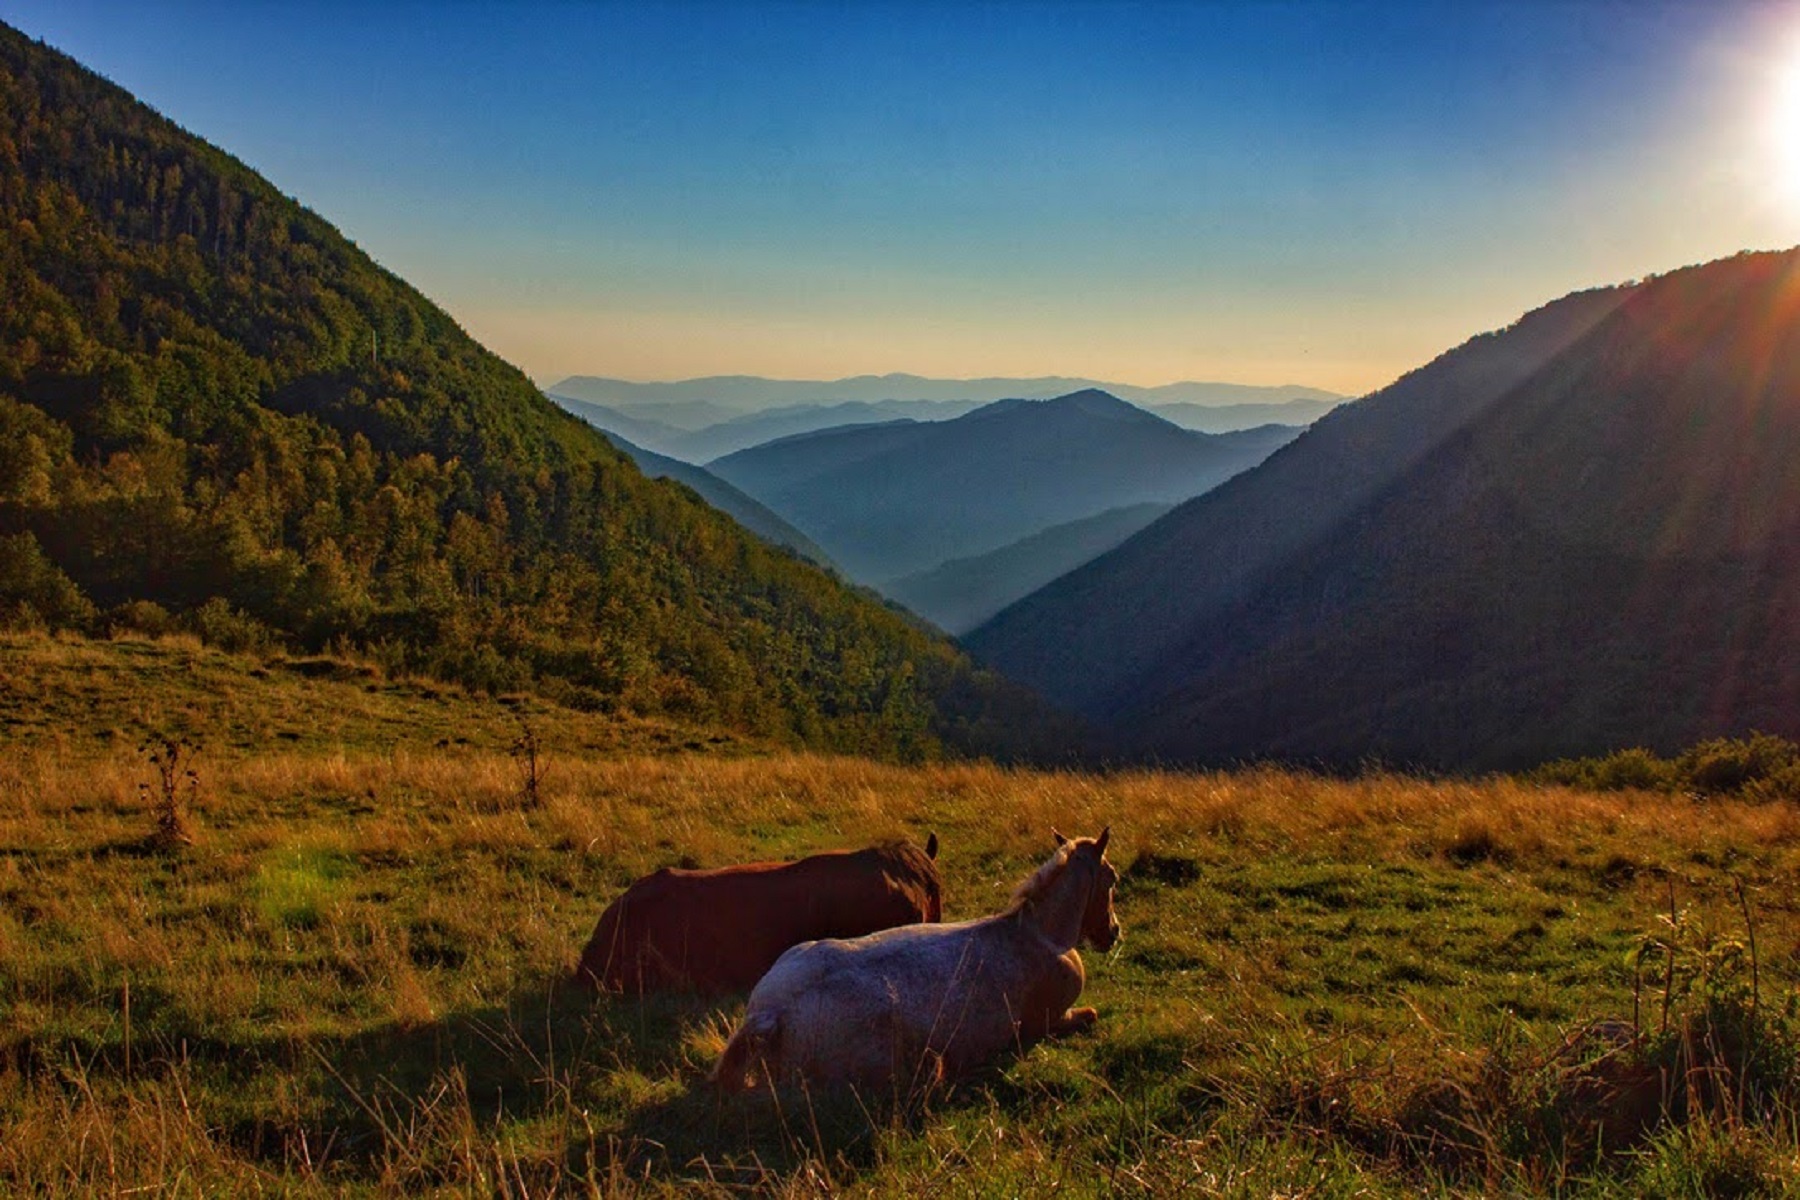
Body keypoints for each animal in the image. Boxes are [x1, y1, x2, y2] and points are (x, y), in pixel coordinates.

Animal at [709, 827, 1116, 1101]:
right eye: (1111, 879)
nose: (1113, 933)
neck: (1040, 933)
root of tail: (772, 1013)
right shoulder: (1047, 1022)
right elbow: (1089, 1015)